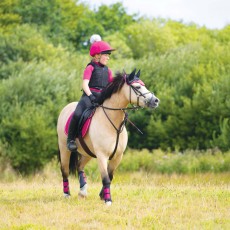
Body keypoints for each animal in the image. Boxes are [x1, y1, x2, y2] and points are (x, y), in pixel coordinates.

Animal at [56, 68, 159, 205]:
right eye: (137, 87)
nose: (155, 101)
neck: (112, 123)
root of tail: (66, 108)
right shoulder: (102, 156)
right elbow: (105, 178)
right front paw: (108, 200)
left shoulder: (118, 156)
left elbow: (110, 176)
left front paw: (102, 195)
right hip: (64, 149)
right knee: (65, 171)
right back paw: (66, 194)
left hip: (87, 153)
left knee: (80, 166)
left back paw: (83, 191)